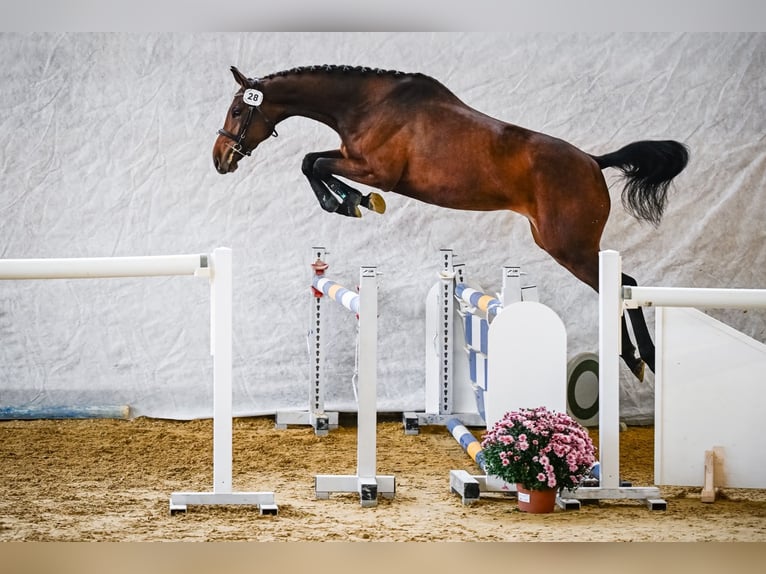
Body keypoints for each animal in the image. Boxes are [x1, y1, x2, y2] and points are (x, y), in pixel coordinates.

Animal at [212, 64, 689, 381]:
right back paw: (633, 356)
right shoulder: (353, 160)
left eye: (237, 110)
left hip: (569, 247)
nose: (220, 160)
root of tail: (593, 161)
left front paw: (352, 202)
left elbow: (314, 163)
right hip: (563, 245)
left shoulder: (375, 170)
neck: (367, 104)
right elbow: (311, 161)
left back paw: (640, 356)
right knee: (619, 283)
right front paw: (351, 202)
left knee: (622, 282)